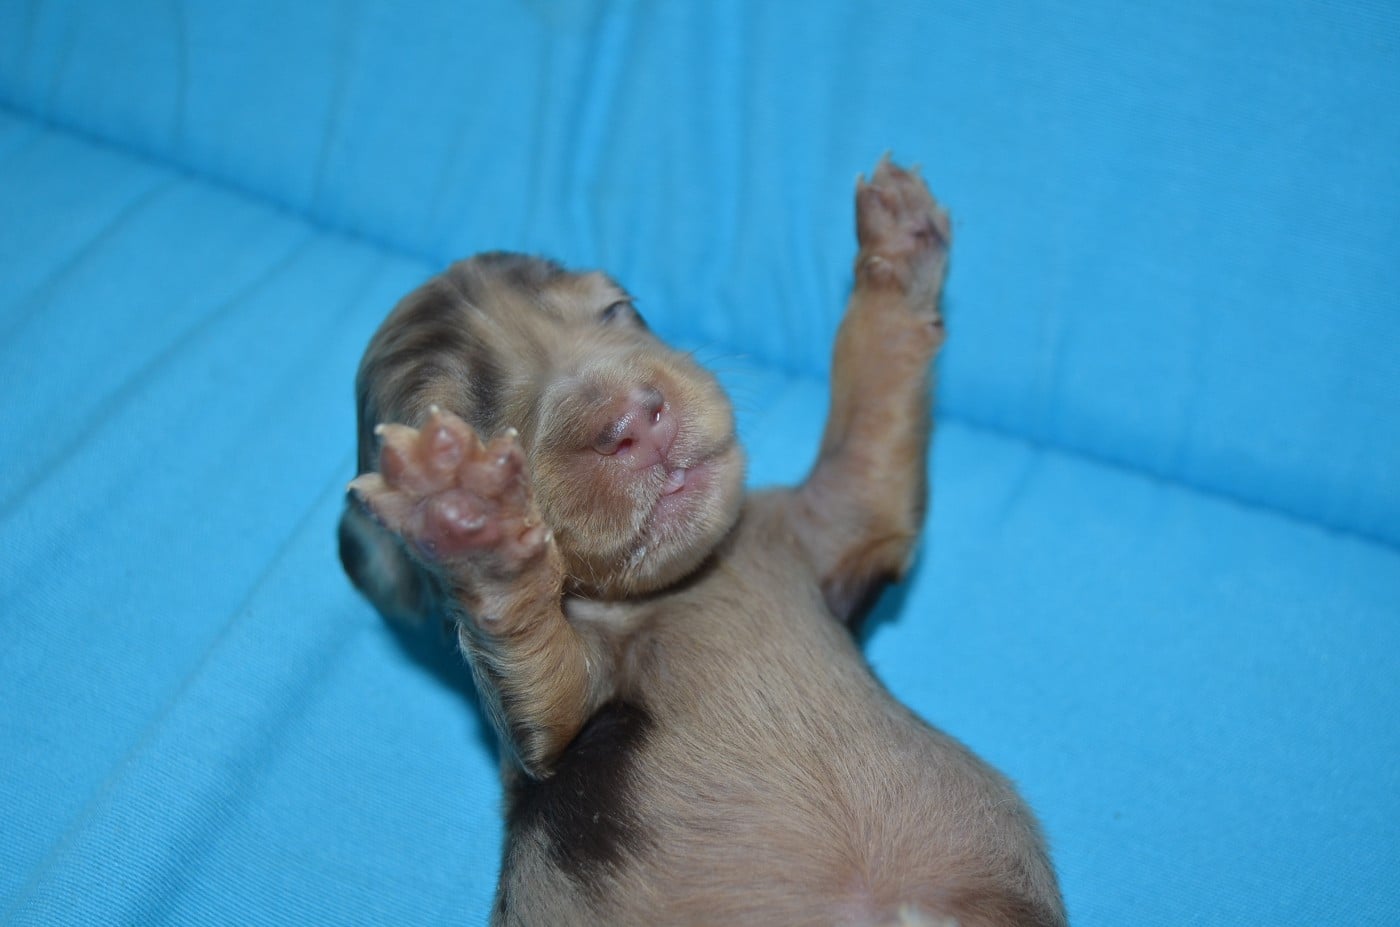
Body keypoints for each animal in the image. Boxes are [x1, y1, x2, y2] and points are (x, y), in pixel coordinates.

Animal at [339, 158, 1066, 926]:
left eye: (619, 309)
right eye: (463, 424)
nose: (633, 418)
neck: (686, 581)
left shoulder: (827, 527)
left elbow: (873, 415)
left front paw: (898, 247)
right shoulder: (558, 726)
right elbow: (533, 655)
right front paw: (472, 517)